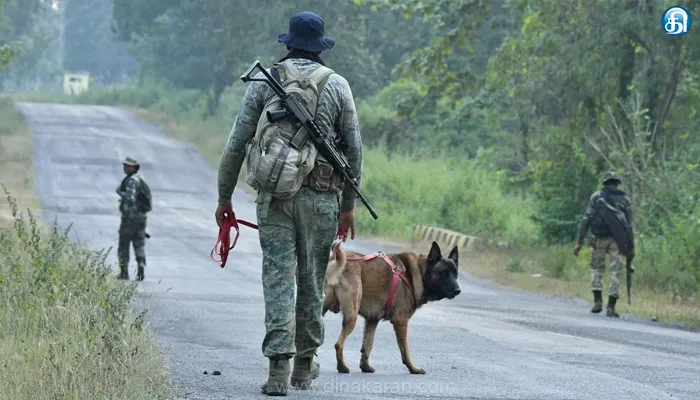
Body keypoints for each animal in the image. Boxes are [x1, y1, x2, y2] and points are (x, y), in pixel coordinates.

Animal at [322, 241, 460, 376]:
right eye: (444, 273)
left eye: (456, 274)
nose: (458, 290)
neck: (419, 273)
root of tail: (334, 259)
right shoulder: (401, 321)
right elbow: (405, 350)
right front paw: (413, 368)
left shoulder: (372, 321)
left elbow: (368, 345)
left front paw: (365, 366)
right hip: (351, 316)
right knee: (338, 344)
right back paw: (342, 367)